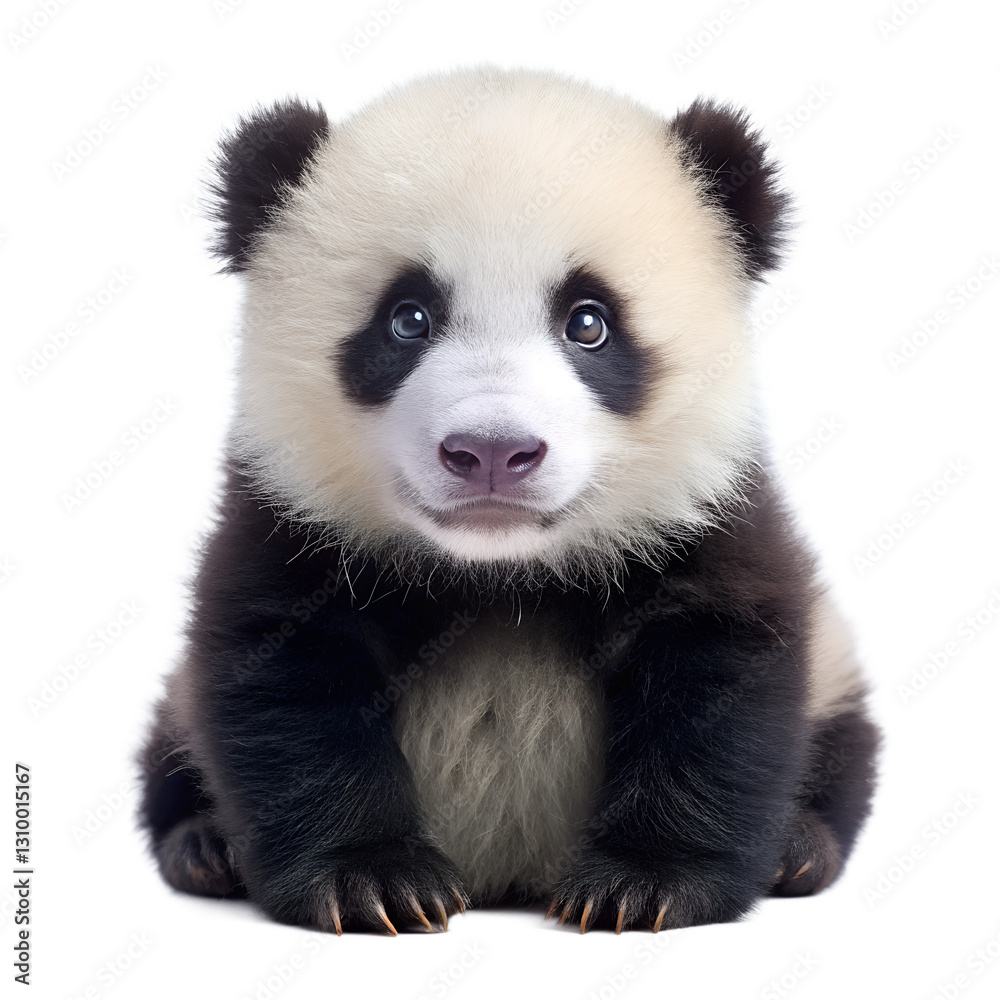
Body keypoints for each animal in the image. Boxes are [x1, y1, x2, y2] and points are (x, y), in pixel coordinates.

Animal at [139, 66, 880, 935]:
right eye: (407, 318)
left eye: (589, 322)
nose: (492, 452)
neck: (498, 572)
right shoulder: (289, 522)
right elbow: (286, 689)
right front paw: (372, 880)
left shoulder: (706, 516)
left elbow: (719, 682)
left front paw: (646, 883)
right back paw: (204, 847)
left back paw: (799, 846)